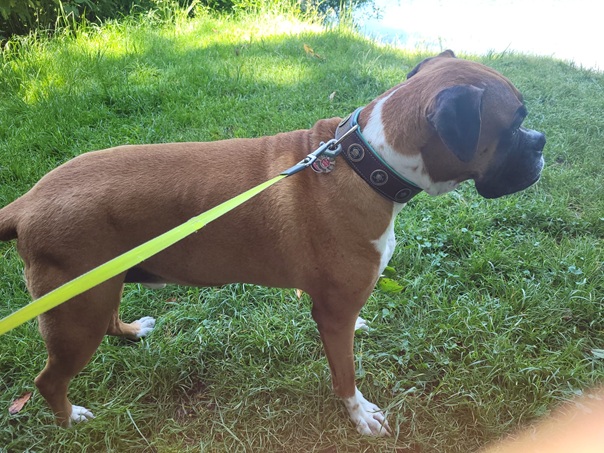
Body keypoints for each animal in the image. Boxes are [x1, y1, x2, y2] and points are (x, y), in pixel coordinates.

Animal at [0, 50, 545, 435]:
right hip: (76, 314)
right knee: (48, 380)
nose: (541, 143)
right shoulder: (331, 315)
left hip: (95, 293)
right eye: (515, 123)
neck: (366, 162)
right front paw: (359, 415)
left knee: (109, 320)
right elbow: (345, 373)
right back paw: (71, 419)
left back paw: (133, 332)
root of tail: (26, 202)